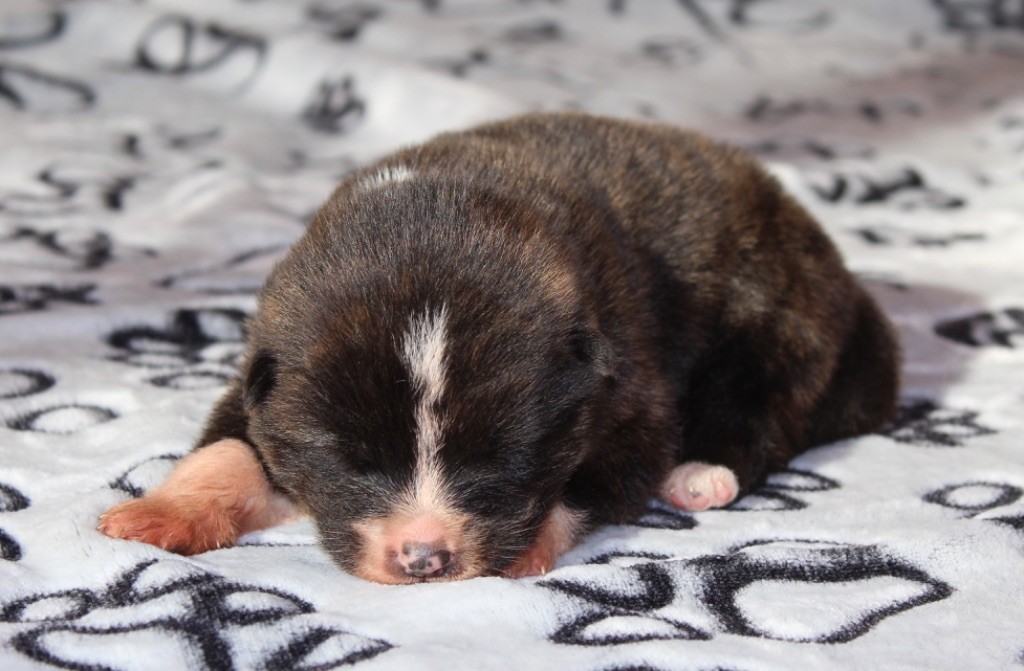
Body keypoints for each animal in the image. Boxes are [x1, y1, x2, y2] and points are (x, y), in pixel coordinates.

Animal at [99, 112, 899, 583]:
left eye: (497, 458)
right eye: (352, 461)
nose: (423, 558)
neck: (435, 207)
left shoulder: (632, 404)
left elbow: (580, 484)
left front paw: (529, 545)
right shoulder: (260, 387)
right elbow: (228, 451)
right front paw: (161, 513)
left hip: (773, 320)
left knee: (764, 410)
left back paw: (702, 474)